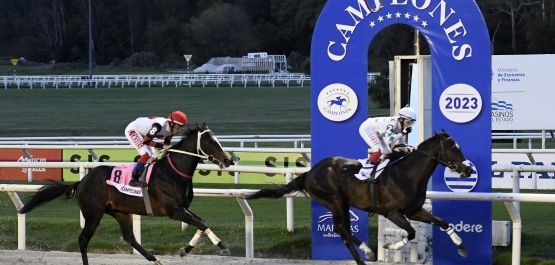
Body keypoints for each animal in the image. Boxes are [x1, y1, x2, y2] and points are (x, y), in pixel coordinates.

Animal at [19, 124, 232, 264]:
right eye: (210, 140)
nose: (227, 160)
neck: (173, 172)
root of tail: (82, 182)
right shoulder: (174, 211)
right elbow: (201, 223)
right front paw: (222, 246)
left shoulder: (183, 208)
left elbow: (202, 222)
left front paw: (185, 250)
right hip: (93, 213)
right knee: (83, 239)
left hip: (119, 211)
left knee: (129, 237)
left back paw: (155, 259)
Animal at [250, 130, 476, 264]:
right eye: (452, 147)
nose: (467, 169)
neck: (407, 175)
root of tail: (310, 172)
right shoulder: (392, 212)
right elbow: (411, 233)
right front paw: (389, 246)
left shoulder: (414, 210)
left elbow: (442, 222)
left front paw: (462, 247)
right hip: (333, 200)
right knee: (341, 229)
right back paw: (368, 253)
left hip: (343, 203)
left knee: (344, 231)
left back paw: (362, 257)